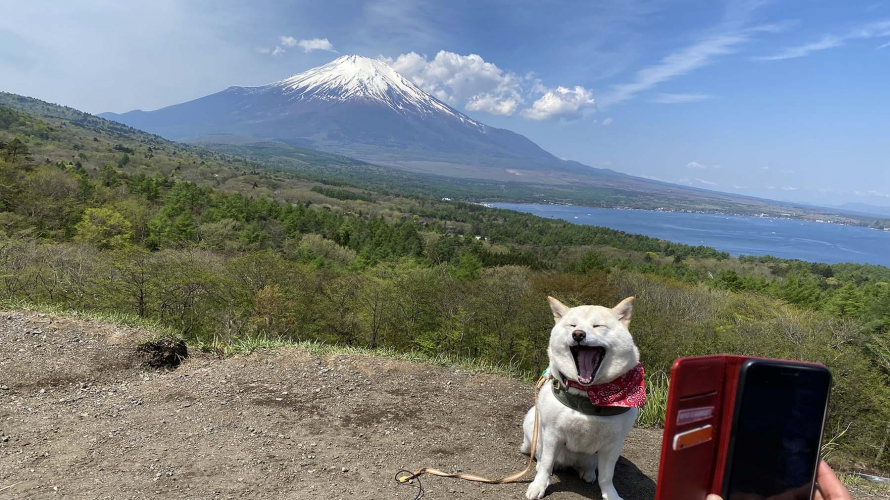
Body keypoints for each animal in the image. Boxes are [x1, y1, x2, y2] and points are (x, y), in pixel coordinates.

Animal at [516, 294, 640, 498]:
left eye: (598, 326)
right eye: (572, 325)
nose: (578, 334)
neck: (588, 396)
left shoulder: (613, 443)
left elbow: (607, 477)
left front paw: (610, 495)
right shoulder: (552, 433)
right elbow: (546, 465)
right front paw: (539, 485)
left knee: (590, 466)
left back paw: (588, 472)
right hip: (532, 422)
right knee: (541, 457)